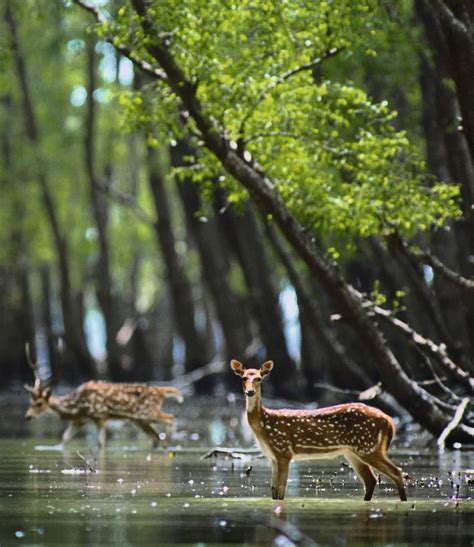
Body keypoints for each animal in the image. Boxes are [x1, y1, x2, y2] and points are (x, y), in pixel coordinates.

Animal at [24, 342, 184, 450]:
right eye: (30, 401)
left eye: (39, 403)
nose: (27, 416)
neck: (77, 407)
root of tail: (161, 391)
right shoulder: (79, 420)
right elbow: (64, 439)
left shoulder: (100, 416)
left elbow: (101, 444)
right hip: (139, 420)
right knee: (155, 437)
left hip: (147, 413)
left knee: (170, 418)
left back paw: (168, 442)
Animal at [231, 362, 408, 504]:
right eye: (243, 378)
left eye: (259, 378)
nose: (250, 392)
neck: (264, 425)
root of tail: (389, 421)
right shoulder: (272, 457)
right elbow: (274, 491)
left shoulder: (283, 451)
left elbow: (281, 491)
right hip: (354, 452)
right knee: (371, 480)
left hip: (368, 446)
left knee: (397, 472)